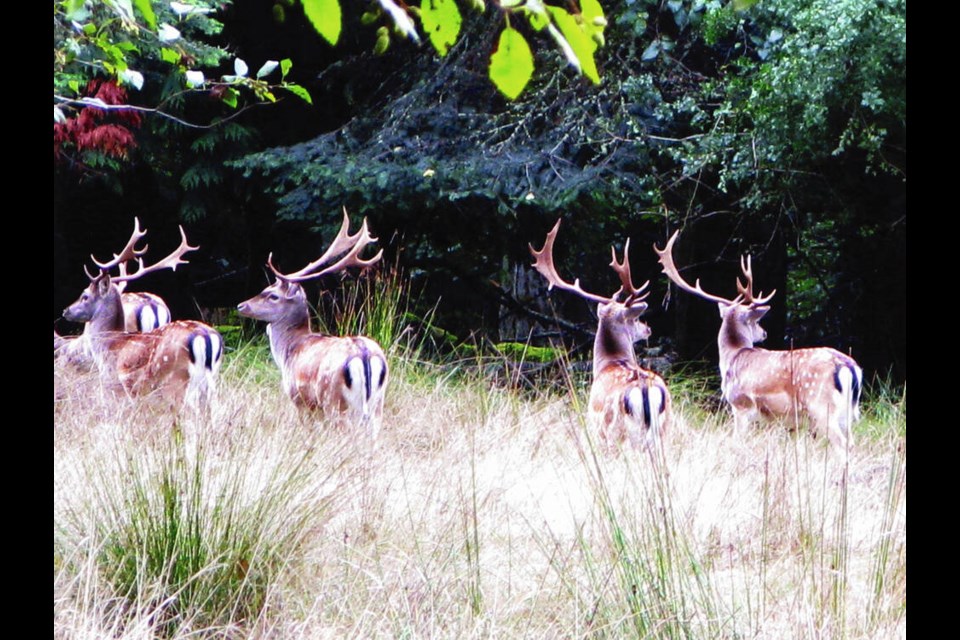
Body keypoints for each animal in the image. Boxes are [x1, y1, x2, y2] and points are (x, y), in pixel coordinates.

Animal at [61, 222, 222, 408]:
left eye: (85, 296)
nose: (66, 311)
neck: (109, 345)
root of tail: (207, 337)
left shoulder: (119, 383)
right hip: (210, 379)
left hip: (176, 378)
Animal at [238, 210, 388, 436]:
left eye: (272, 295)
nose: (242, 305)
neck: (289, 350)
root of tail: (364, 355)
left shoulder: (300, 400)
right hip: (377, 404)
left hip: (334, 401)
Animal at [528, 220, 672, 450]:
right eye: (635, 319)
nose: (648, 329)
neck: (608, 363)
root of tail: (644, 391)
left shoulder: (597, 430)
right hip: (664, 428)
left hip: (614, 431)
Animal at [652, 232, 864, 462]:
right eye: (756, 322)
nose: (764, 333)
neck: (731, 357)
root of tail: (849, 367)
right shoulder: (777, 420)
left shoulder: (740, 405)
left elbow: (737, 442)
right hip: (848, 412)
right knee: (852, 442)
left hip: (819, 403)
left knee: (842, 444)